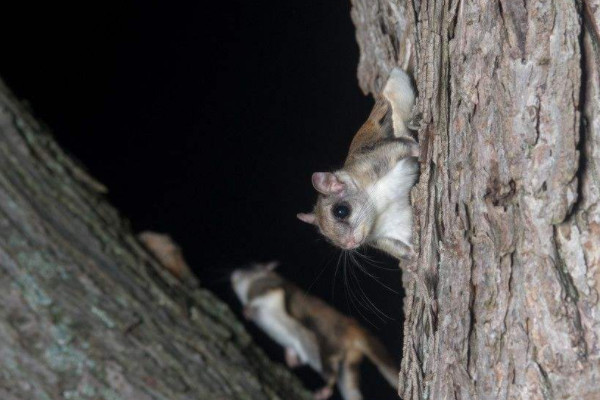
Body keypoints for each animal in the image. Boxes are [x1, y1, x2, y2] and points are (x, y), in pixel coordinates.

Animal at [231, 262, 398, 400]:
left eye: (249, 267)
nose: (233, 274)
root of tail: (355, 330)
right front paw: (290, 358)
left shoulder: (271, 289)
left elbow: (264, 297)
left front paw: (247, 310)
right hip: (348, 366)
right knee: (351, 389)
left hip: (326, 350)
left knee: (331, 375)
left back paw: (324, 391)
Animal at [296, 68, 418, 260]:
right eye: (326, 236)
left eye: (341, 211)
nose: (349, 244)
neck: (376, 205)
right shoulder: (384, 237)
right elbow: (400, 249)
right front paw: (415, 255)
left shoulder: (377, 161)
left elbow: (406, 148)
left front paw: (420, 150)